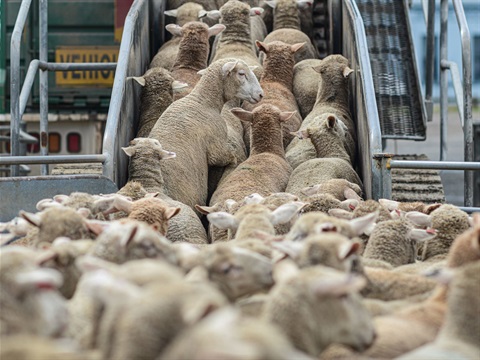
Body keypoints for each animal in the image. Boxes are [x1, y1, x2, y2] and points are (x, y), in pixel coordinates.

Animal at [148, 57, 264, 212]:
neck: (203, 101)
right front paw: (234, 161)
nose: (261, 94)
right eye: (241, 73)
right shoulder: (217, 145)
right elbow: (224, 156)